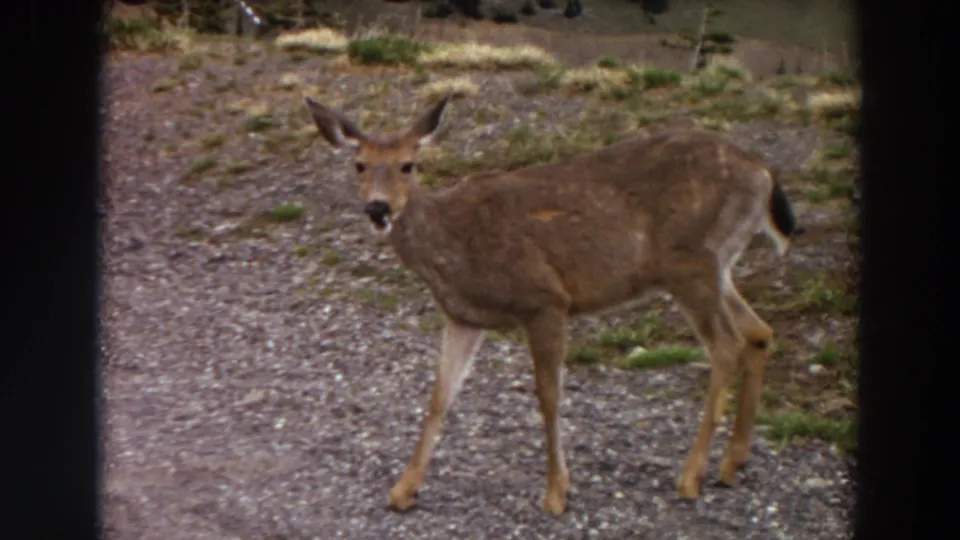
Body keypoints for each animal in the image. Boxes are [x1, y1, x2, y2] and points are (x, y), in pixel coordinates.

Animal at [303, 93, 797, 516]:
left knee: (727, 345)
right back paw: (732, 464)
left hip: (689, 262)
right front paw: (403, 489)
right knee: (758, 332)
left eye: (408, 165)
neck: (453, 246)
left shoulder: (545, 300)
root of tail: (763, 173)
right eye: (360, 165)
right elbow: (440, 397)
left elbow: (549, 395)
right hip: (717, 266)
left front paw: (557, 491)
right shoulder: (462, 318)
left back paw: (690, 475)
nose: (378, 209)